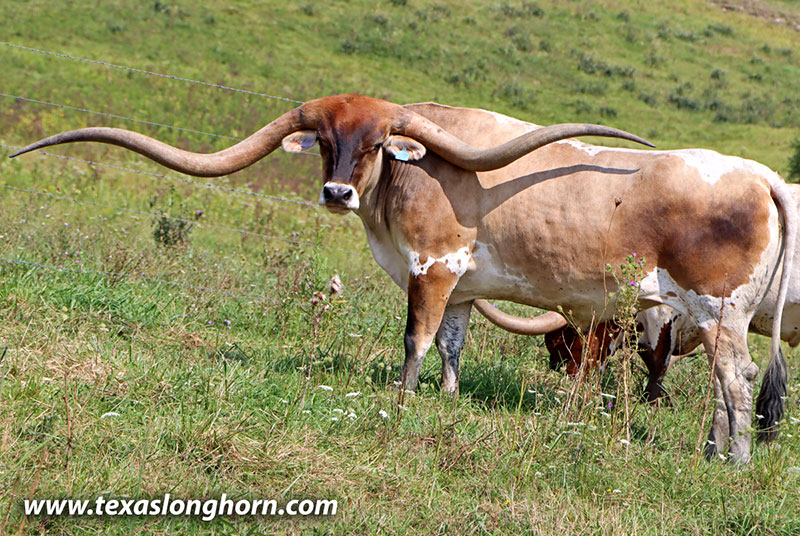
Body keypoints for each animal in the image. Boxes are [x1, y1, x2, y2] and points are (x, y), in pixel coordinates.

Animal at [10, 93, 795, 463]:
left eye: (378, 144)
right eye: (326, 140)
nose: (335, 193)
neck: (404, 182)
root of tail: (757, 175)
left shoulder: (432, 268)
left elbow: (416, 339)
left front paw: (403, 399)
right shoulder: (465, 288)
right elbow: (452, 345)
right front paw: (445, 401)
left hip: (718, 310)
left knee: (735, 383)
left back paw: (732, 462)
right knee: (725, 389)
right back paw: (718, 451)